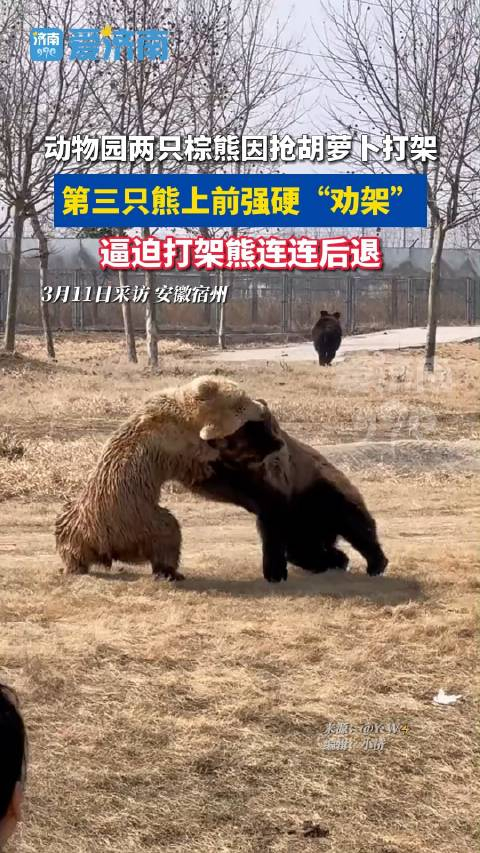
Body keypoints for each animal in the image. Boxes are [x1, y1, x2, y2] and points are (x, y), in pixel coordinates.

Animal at [55, 375, 272, 581]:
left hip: (84, 521)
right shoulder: (176, 443)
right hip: (138, 519)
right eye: (241, 401)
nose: (263, 406)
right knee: (168, 533)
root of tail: (107, 547)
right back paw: (170, 572)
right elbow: (204, 465)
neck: (189, 416)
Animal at [192, 407, 388, 583]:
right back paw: (335, 560)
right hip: (304, 523)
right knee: (304, 550)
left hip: (328, 501)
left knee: (356, 527)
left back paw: (374, 563)